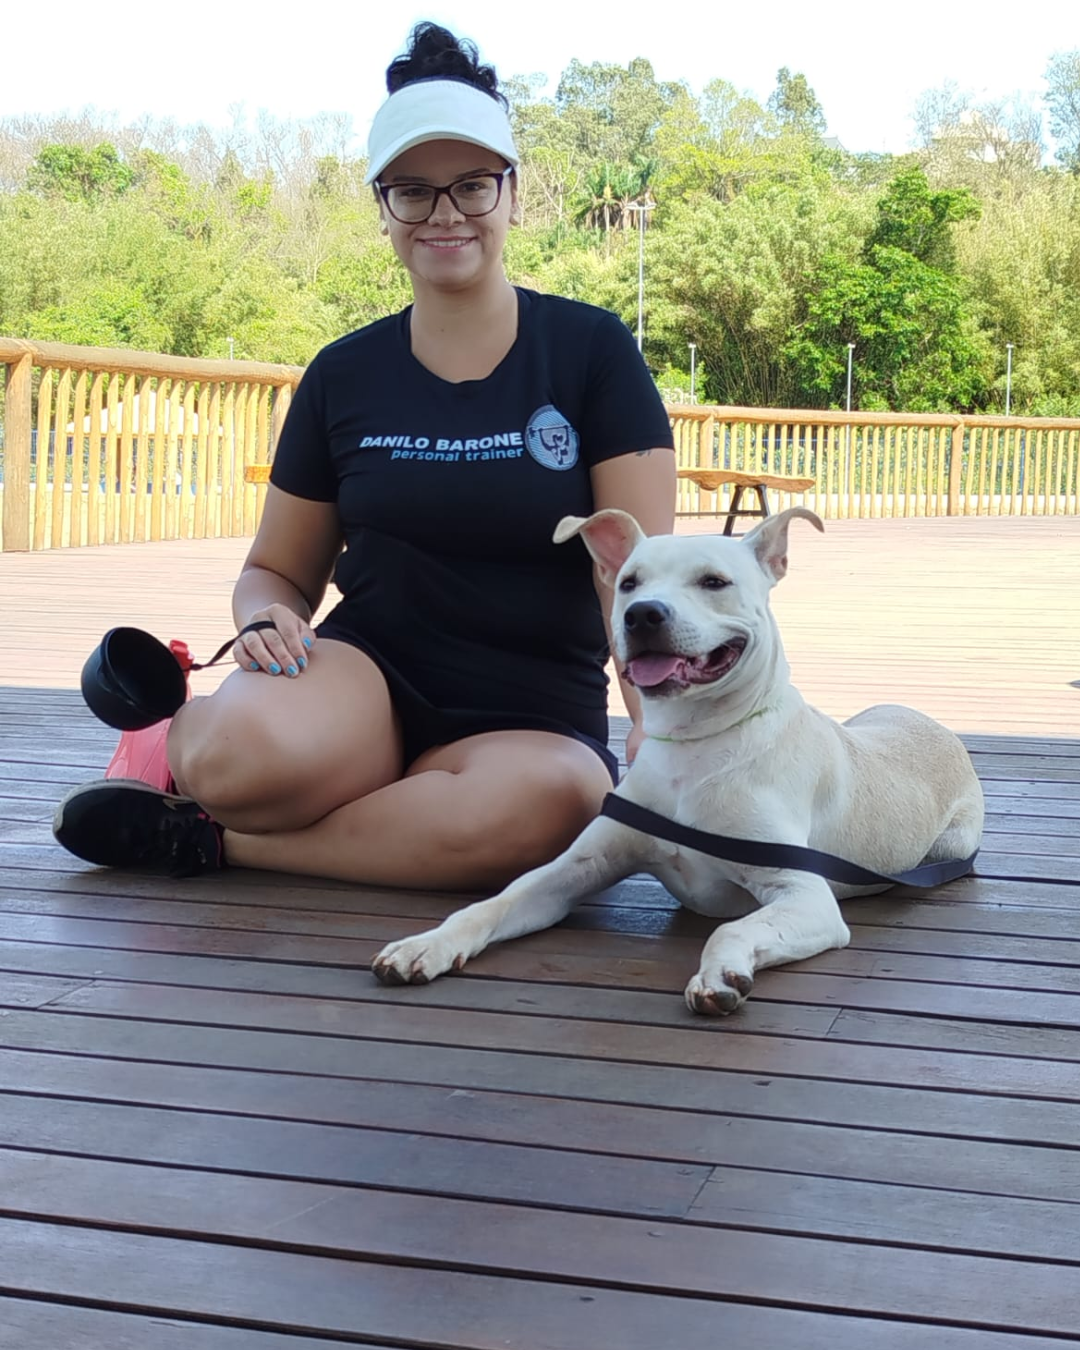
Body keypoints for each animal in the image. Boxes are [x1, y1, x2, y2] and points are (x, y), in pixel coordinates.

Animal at [373, 508, 985, 1014]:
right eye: (628, 583)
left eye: (714, 582)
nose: (644, 614)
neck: (695, 745)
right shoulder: (575, 868)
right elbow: (492, 904)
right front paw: (425, 945)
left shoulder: (803, 895)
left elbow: (729, 930)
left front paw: (719, 976)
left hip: (950, 845)